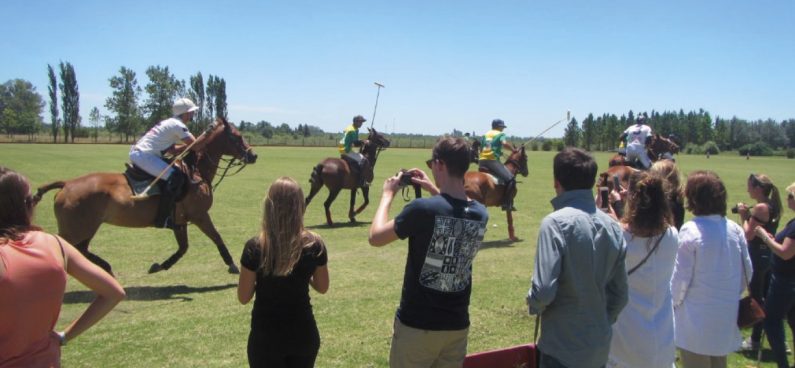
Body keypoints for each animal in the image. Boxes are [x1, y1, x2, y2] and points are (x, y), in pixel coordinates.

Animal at [32, 118, 256, 274]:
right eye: (236, 136)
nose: (253, 155)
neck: (196, 172)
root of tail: (67, 184)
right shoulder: (199, 215)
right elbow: (216, 236)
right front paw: (232, 265)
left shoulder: (179, 220)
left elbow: (183, 247)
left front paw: (159, 266)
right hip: (76, 228)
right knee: (65, 247)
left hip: (86, 227)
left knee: (82, 249)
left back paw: (106, 268)